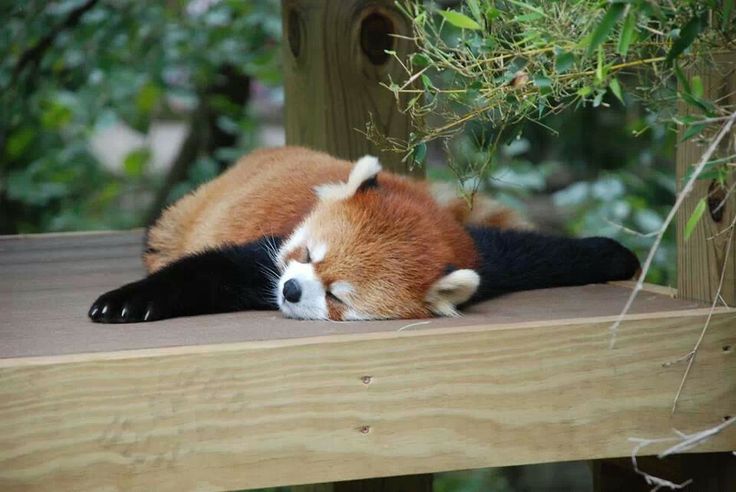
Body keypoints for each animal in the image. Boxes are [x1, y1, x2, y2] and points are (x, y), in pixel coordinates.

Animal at [86, 146, 640, 322]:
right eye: (307, 254)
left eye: (338, 297)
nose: (291, 291)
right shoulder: (269, 252)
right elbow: (213, 269)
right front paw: (127, 302)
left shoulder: (476, 251)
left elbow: (533, 253)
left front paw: (611, 253)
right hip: (184, 213)